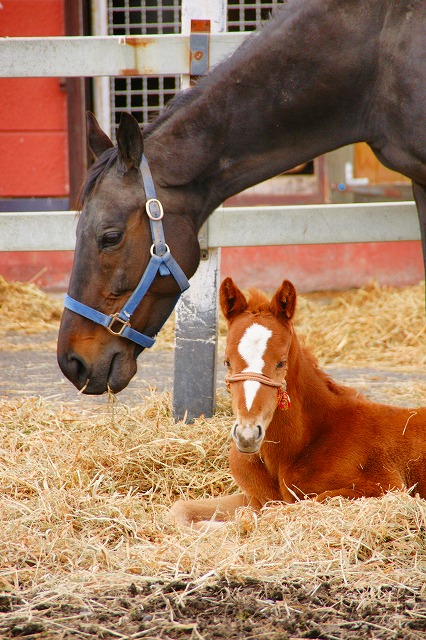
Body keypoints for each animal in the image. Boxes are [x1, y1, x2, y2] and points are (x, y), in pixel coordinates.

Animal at [170, 278, 426, 528]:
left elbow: (275, 514)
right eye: (227, 362)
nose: (247, 435)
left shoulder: (384, 487)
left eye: (281, 362)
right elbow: (180, 510)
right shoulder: (255, 497)